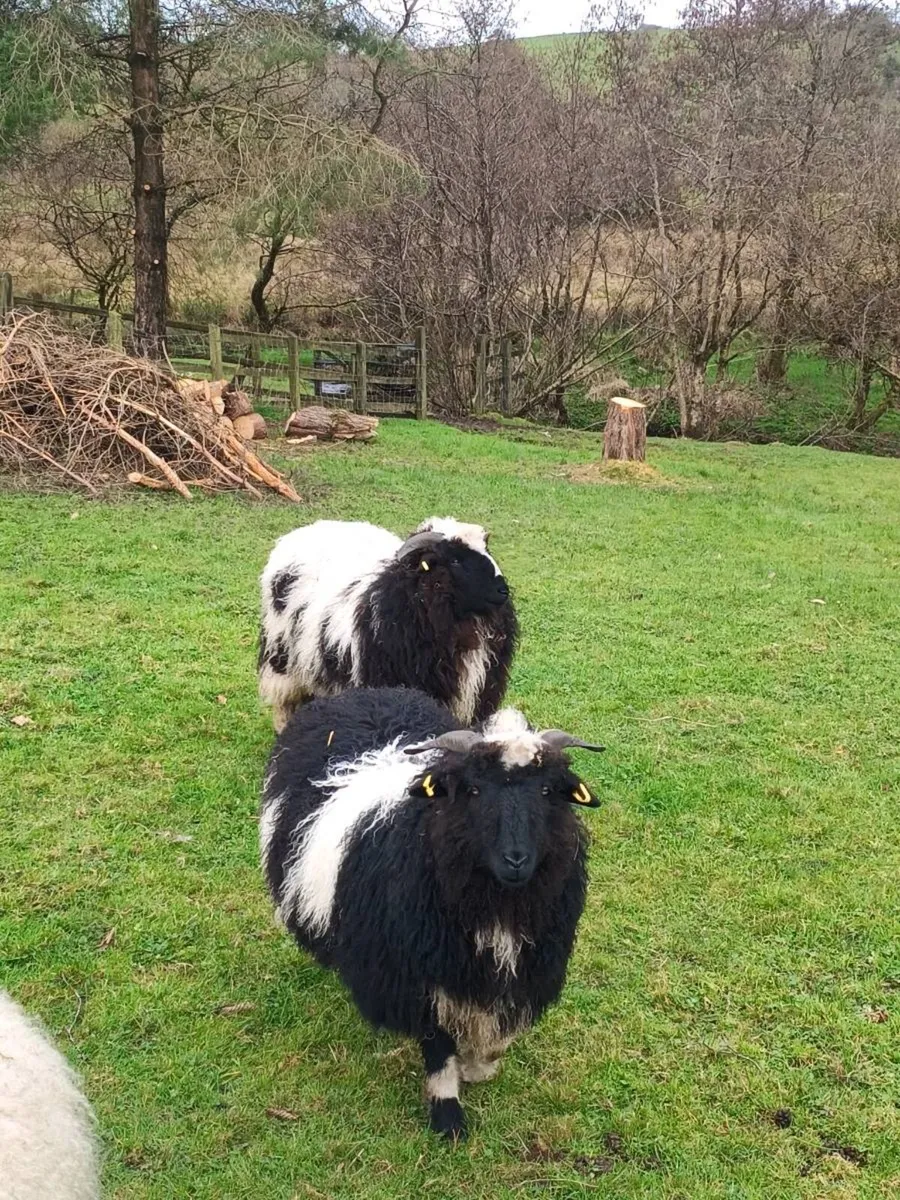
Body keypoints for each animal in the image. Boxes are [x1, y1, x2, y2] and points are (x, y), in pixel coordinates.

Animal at [258, 516, 518, 732]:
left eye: (487, 551)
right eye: (455, 560)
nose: (502, 591)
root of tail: (306, 530)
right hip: (282, 658)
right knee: (284, 702)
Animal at [260, 686, 604, 1141]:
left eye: (548, 791)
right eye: (472, 790)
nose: (516, 860)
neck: (498, 907)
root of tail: (371, 695)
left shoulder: (525, 969)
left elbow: (497, 1036)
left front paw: (479, 1065)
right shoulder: (419, 976)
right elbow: (438, 1046)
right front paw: (447, 1115)